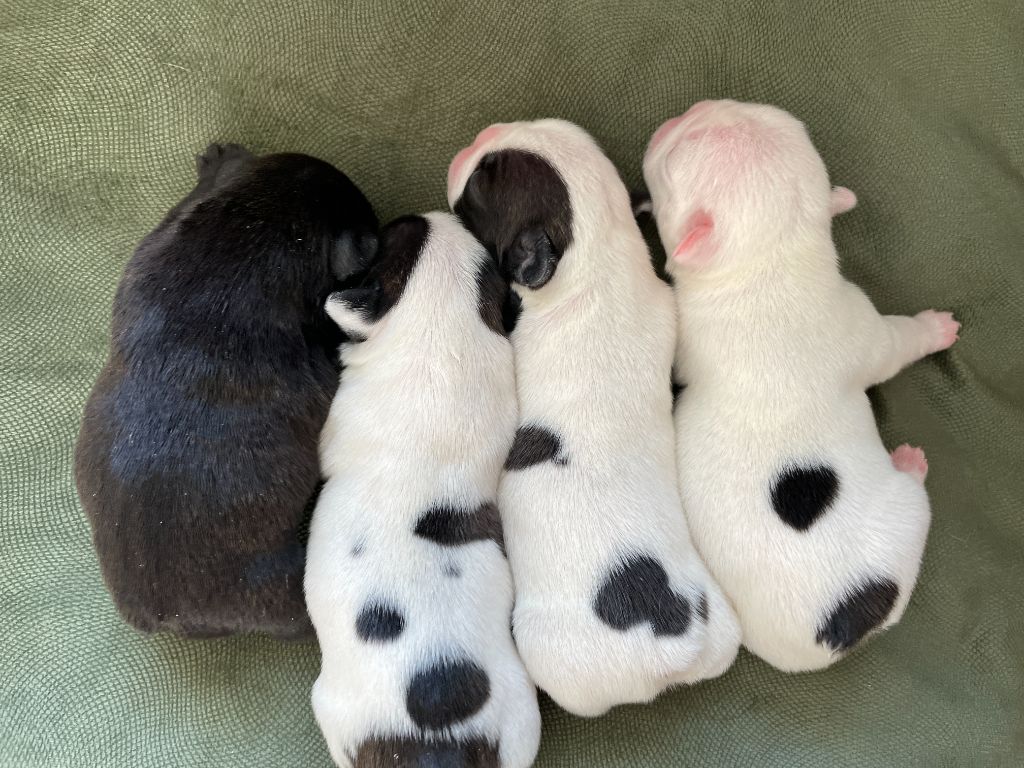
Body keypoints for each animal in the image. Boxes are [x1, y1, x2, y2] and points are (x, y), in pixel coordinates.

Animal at [303, 214, 540, 768]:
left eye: (392, 235)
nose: (432, 215)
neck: (439, 333)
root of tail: (439, 743)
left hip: (335, 711)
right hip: (521, 724)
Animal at [444, 117, 741, 720]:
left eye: (486, 177)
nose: (485, 130)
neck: (602, 266)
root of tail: (669, 651)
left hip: (552, 652)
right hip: (722, 629)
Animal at [638, 99, 958, 671]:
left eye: (742, 106)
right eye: (673, 157)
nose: (695, 106)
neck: (771, 261)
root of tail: (842, 625)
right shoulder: (866, 329)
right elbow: (900, 341)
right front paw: (937, 329)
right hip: (904, 516)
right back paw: (912, 462)